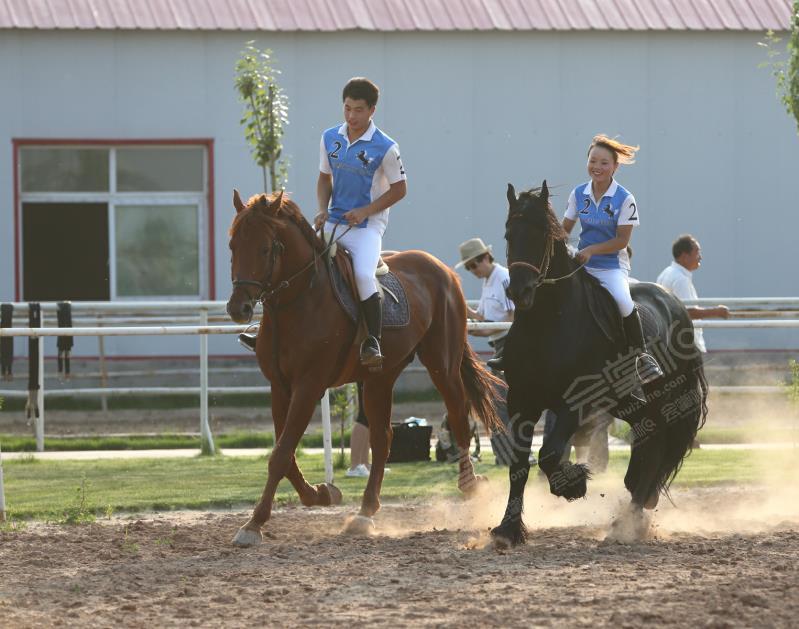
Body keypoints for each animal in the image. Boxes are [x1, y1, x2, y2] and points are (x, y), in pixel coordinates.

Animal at [225, 190, 500, 544]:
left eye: (265, 248)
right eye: (233, 246)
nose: (238, 308)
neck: (299, 301)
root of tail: (442, 269)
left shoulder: (309, 385)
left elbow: (281, 453)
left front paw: (254, 523)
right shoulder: (280, 387)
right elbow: (284, 455)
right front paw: (320, 494)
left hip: (443, 365)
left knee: (458, 417)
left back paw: (469, 486)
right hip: (380, 378)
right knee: (382, 439)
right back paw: (366, 511)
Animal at [490, 180, 708, 544]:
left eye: (542, 234)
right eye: (508, 234)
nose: (520, 291)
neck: (548, 321)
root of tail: (674, 302)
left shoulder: (575, 401)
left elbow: (549, 454)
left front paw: (572, 484)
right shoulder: (521, 400)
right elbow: (519, 466)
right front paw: (507, 530)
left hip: (661, 397)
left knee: (656, 441)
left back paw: (626, 522)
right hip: (626, 401)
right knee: (650, 437)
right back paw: (633, 510)